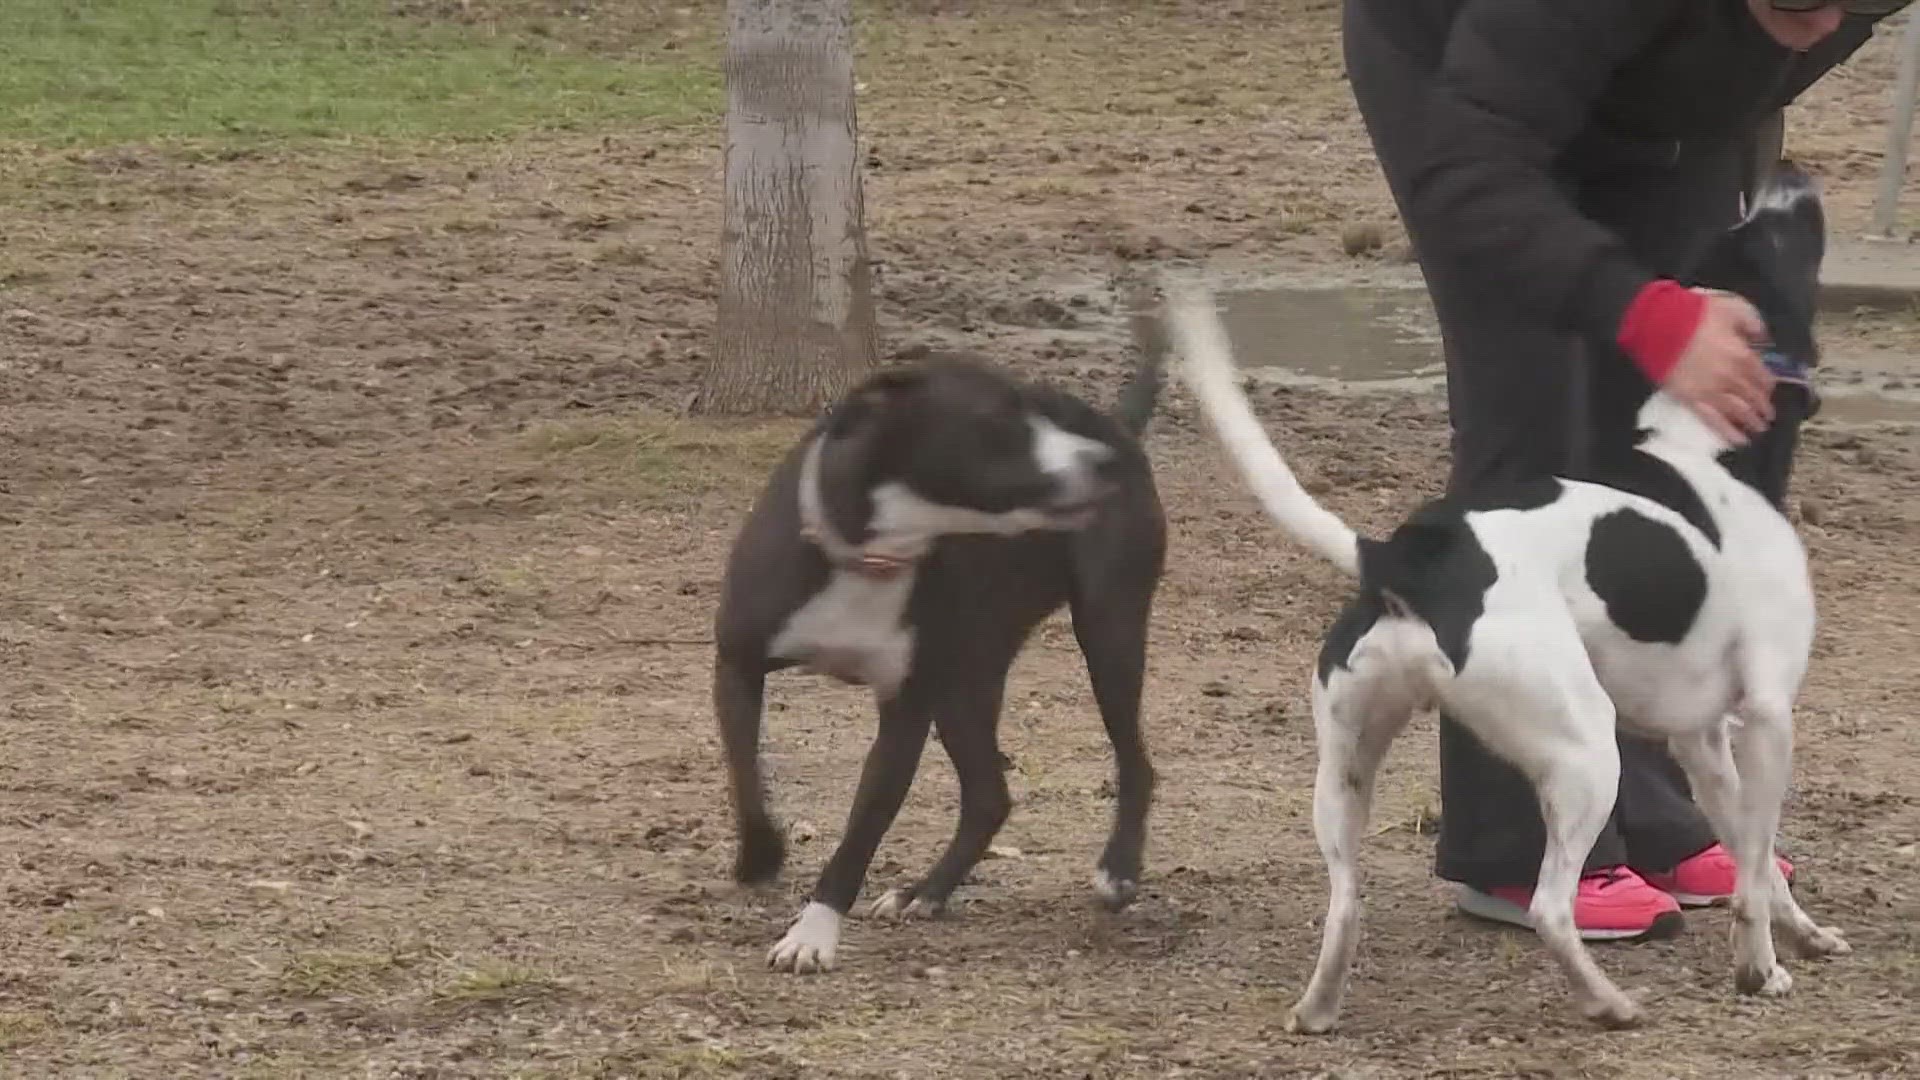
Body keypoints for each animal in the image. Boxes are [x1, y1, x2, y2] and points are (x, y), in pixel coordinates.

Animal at [714, 349, 1167, 972]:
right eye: (1000, 419)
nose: (1101, 461)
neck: (874, 552)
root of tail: (1119, 423)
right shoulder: (737, 662)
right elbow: (745, 774)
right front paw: (760, 857)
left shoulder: (905, 713)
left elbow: (861, 834)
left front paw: (813, 933)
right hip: (966, 683)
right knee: (988, 797)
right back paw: (926, 892)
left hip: (1107, 633)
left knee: (1133, 762)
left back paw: (1117, 871)